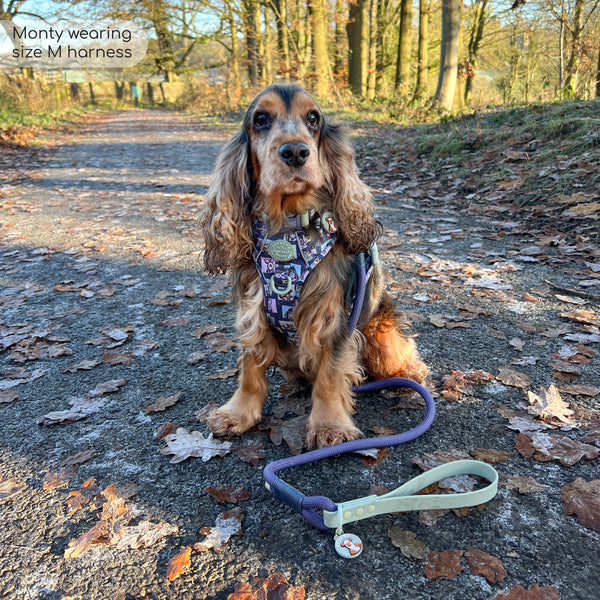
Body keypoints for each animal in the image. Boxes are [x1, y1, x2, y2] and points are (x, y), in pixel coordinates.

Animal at [199, 85, 424, 450]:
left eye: (313, 118)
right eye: (261, 119)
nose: (295, 151)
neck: (289, 228)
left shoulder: (333, 316)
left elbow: (331, 373)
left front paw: (330, 425)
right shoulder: (253, 308)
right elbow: (250, 367)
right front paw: (237, 412)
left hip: (381, 324)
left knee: (396, 351)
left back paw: (410, 371)